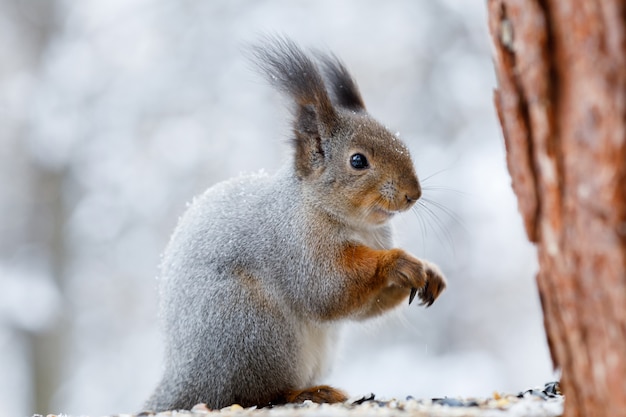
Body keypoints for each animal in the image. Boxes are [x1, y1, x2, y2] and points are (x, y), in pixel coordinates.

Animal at [143, 36, 444, 412]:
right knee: (255, 395)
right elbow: (328, 289)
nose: (413, 194)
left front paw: (429, 272)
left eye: (401, 142)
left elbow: (362, 307)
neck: (356, 224)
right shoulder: (295, 246)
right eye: (358, 161)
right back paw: (309, 393)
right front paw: (399, 262)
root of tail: (184, 382)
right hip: (251, 330)